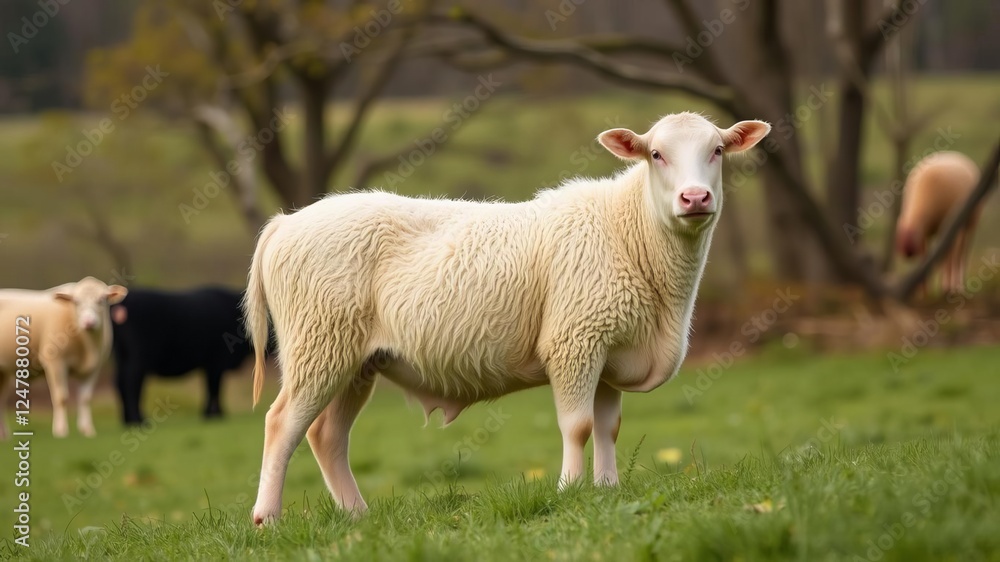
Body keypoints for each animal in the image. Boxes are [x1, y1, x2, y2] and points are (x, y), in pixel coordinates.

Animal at [0, 277, 127, 438]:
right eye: (76, 302)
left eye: (102, 300)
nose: (89, 322)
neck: (87, 346)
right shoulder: (55, 362)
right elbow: (61, 397)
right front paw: (61, 431)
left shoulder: (95, 368)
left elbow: (85, 398)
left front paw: (87, 430)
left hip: (3, 372)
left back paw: (4, 436)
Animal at [244, 112, 771, 525]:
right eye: (656, 154)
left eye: (718, 150)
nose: (695, 198)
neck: (631, 232)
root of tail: (286, 222)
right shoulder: (574, 341)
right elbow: (578, 426)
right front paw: (569, 493)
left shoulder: (608, 351)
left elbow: (607, 428)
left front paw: (607, 492)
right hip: (318, 344)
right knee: (281, 424)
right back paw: (267, 518)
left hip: (355, 360)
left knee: (326, 436)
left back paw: (358, 516)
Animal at [896, 151, 983, 294]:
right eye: (898, 234)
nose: (907, 252)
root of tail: (955, 153)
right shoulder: (925, 234)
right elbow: (925, 259)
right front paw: (924, 292)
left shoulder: (951, 228)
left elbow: (952, 256)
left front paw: (952, 287)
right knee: (948, 254)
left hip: (970, 224)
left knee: (961, 254)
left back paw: (957, 285)